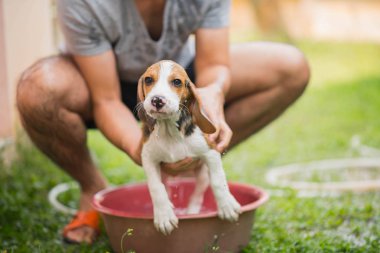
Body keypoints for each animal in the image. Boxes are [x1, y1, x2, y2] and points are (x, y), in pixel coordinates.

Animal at [137, 60, 240, 234]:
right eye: (148, 80)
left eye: (177, 82)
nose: (157, 100)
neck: (169, 131)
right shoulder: (148, 159)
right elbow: (156, 187)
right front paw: (164, 216)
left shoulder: (211, 152)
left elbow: (218, 181)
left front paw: (227, 205)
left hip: (203, 174)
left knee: (198, 192)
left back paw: (192, 211)